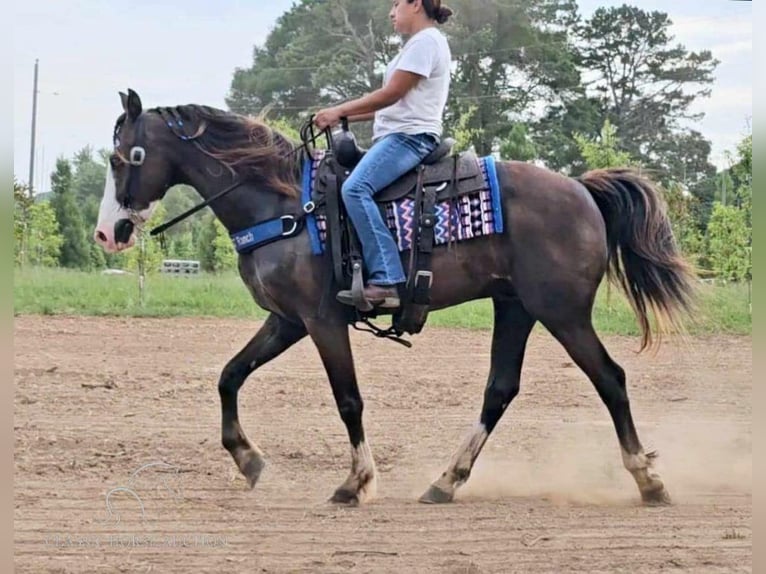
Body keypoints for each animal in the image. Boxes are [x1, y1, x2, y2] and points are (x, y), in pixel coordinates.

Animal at [93, 89, 692, 508]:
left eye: (123, 158)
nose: (108, 232)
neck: (284, 205)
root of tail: (582, 190)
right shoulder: (287, 320)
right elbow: (229, 375)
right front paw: (251, 462)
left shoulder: (321, 320)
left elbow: (348, 400)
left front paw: (356, 483)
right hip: (516, 308)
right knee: (499, 390)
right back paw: (445, 481)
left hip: (562, 313)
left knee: (610, 379)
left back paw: (649, 480)